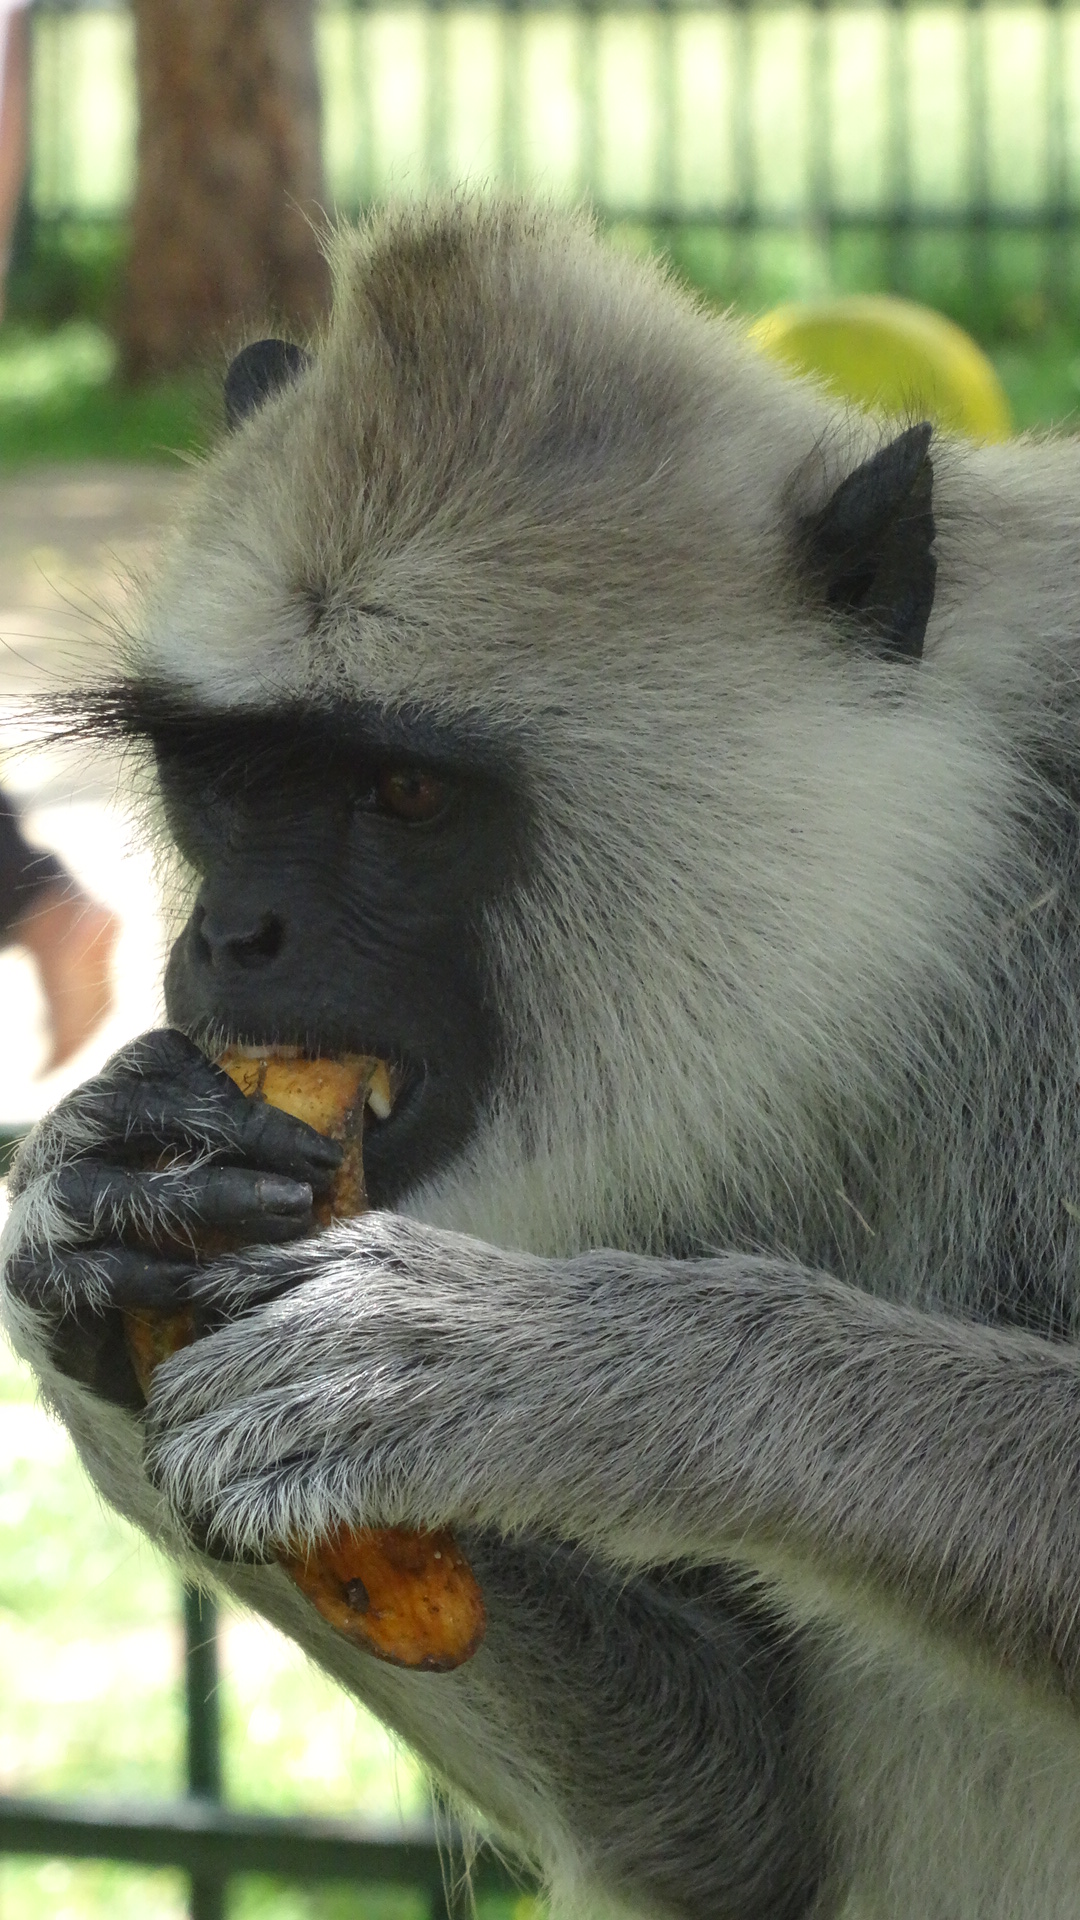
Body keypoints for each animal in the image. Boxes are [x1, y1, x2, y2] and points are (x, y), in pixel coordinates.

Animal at [6, 196, 1080, 1920]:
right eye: (226, 778)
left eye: (402, 796)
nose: (236, 934)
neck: (930, 944)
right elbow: (742, 1840)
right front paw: (85, 1209)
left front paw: (549, 1374)